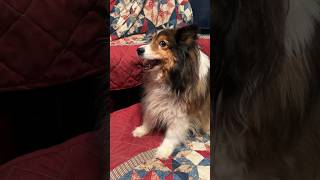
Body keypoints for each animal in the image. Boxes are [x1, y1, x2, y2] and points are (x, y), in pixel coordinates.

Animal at [132, 25, 210, 159]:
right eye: (151, 39)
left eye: (162, 43)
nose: (138, 50)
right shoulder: (155, 97)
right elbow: (149, 116)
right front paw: (142, 130)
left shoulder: (181, 111)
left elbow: (172, 133)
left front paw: (164, 150)